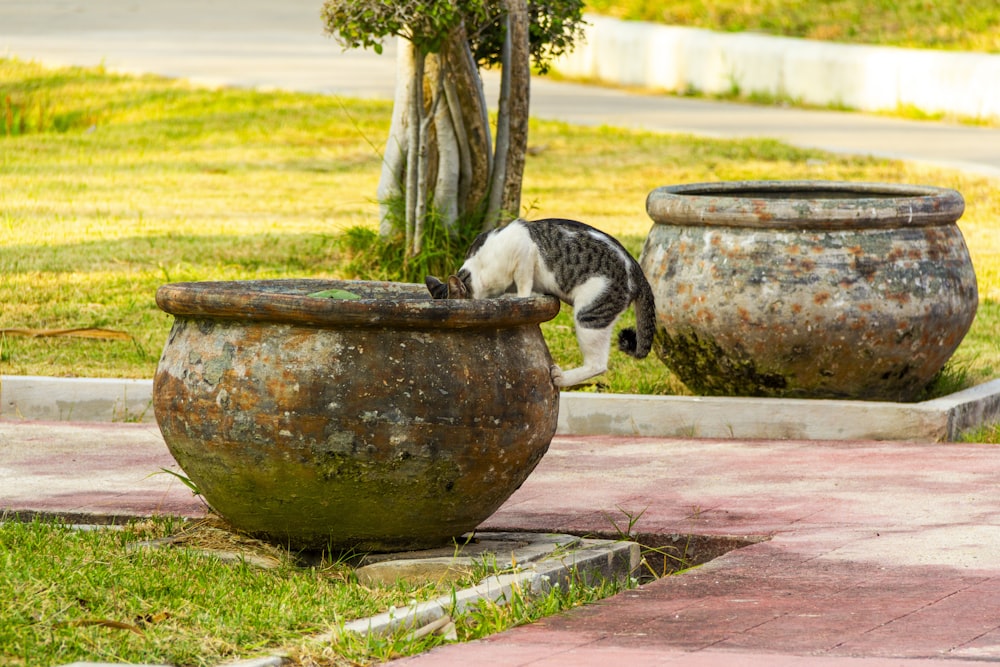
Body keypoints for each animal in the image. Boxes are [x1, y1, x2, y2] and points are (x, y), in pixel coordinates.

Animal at [428, 217, 656, 388]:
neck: (478, 269)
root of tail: (637, 270)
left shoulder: (524, 250)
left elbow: (523, 283)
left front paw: (518, 298)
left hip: (590, 312)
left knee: (598, 365)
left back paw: (562, 378)